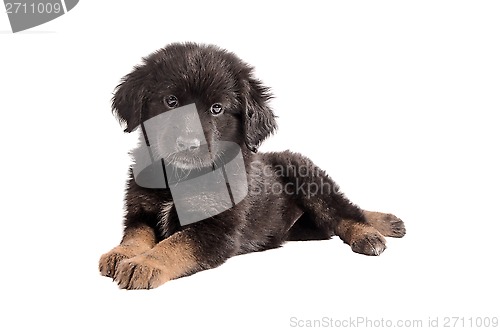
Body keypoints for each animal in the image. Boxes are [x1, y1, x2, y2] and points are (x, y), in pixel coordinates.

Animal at [98, 42, 406, 290]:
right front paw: (121, 253)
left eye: (217, 109)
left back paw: (372, 232)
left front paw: (145, 264)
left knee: (344, 211)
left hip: (310, 182)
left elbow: (174, 244)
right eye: (170, 101)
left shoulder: (216, 231)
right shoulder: (140, 212)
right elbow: (135, 235)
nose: (188, 144)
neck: (180, 177)